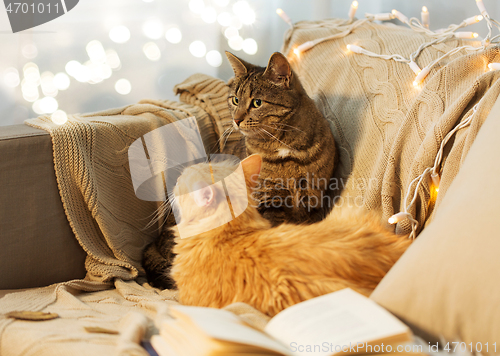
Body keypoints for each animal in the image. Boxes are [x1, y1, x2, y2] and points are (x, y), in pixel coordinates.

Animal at [226, 51, 336, 225]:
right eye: (235, 100)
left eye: (257, 102)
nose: (236, 120)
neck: (282, 143)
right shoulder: (267, 197)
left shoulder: (313, 196)